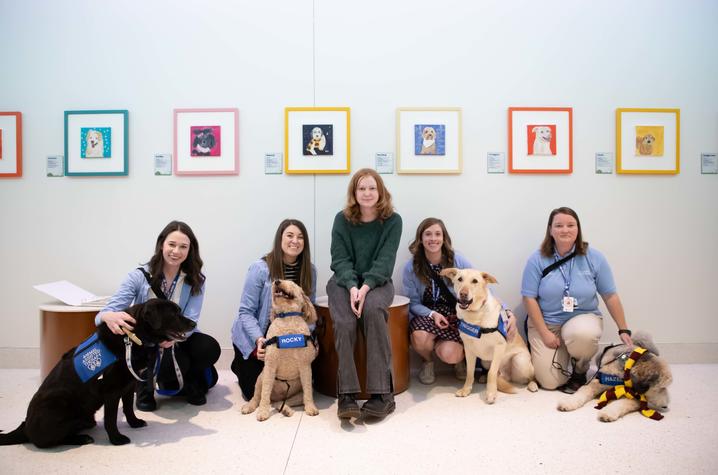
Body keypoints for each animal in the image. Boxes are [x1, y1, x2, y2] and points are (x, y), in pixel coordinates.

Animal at [0, 300, 195, 448]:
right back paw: (81, 439)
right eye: (174, 313)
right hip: (58, 404)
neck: (132, 337)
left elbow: (128, 408)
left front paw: (134, 423)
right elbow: (110, 418)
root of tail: (25, 427)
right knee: (49, 441)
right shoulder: (111, 391)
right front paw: (116, 439)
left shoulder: (128, 385)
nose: (193, 323)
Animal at [240, 280, 320, 422]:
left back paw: (286, 410)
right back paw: (249, 406)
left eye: (292, 283)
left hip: (296, 395)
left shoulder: (305, 366)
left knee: (281, 402)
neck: (287, 318)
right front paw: (263, 412)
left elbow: (308, 393)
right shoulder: (270, 366)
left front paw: (311, 408)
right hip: (260, 378)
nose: (277, 282)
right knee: (257, 397)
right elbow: (265, 394)